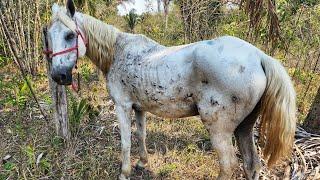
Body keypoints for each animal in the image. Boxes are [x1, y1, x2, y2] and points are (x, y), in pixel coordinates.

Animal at [46, 0, 296, 179]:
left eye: (70, 35)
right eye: (47, 36)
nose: (58, 76)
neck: (118, 52)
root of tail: (259, 56)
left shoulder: (122, 106)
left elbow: (126, 142)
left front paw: (124, 172)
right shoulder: (139, 108)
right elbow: (141, 135)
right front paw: (142, 162)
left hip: (219, 129)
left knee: (228, 166)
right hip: (244, 127)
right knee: (251, 164)